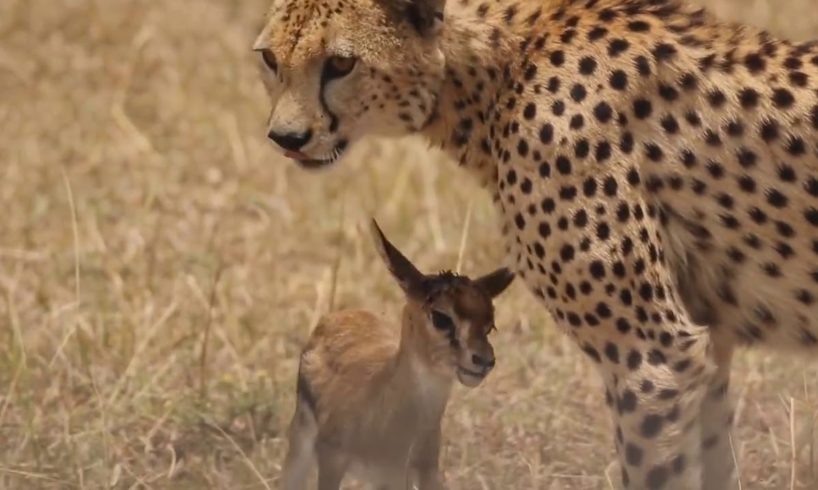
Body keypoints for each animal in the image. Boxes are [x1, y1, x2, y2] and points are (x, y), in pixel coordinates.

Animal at [253, 0, 818, 488]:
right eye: (270, 58)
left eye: (341, 63)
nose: (286, 138)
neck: (491, 74)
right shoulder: (706, 347)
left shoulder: (654, 356)